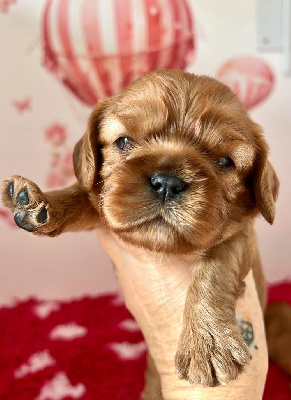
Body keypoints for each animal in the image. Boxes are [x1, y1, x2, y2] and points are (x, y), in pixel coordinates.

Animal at [1, 70, 290, 396]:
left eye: (225, 162)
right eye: (124, 141)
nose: (167, 183)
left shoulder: (242, 235)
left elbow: (217, 263)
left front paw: (208, 343)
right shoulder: (106, 204)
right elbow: (83, 194)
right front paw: (39, 204)